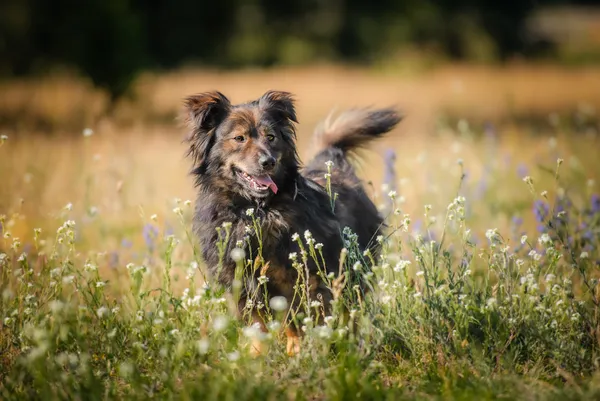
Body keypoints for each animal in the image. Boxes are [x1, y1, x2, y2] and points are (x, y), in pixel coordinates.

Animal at [182, 90, 398, 354]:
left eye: (271, 137)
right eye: (239, 138)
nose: (268, 161)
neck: (255, 211)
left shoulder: (297, 282)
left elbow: (294, 325)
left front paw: (296, 354)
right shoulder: (241, 284)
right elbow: (257, 328)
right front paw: (254, 357)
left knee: (350, 314)